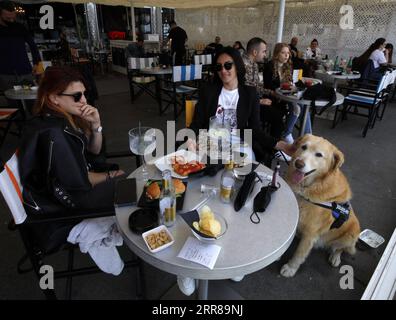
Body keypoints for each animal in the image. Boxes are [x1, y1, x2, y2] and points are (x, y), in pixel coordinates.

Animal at [280, 134, 360, 276]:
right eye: (303, 147)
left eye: (319, 155)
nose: (298, 163)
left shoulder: (311, 234)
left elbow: (299, 254)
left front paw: (290, 268)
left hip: (351, 235)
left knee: (339, 249)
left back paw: (335, 257)